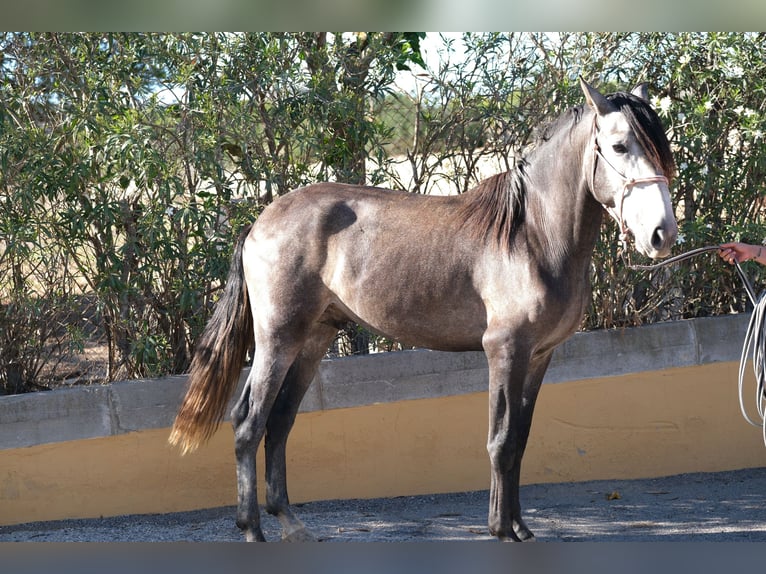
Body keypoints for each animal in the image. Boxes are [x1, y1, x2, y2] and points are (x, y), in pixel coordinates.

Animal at [170, 79, 680, 544]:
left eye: (661, 148)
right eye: (619, 145)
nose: (662, 234)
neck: (533, 237)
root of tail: (259, 221)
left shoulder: (539, 356)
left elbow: (519, 438)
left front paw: (520, 527)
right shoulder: (505, 350)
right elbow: (500, 441)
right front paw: (500, 530)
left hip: (313, 339)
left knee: (279, 422)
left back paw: (291, 524)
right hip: (278, 338)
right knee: (249, 422)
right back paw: (253, 530)